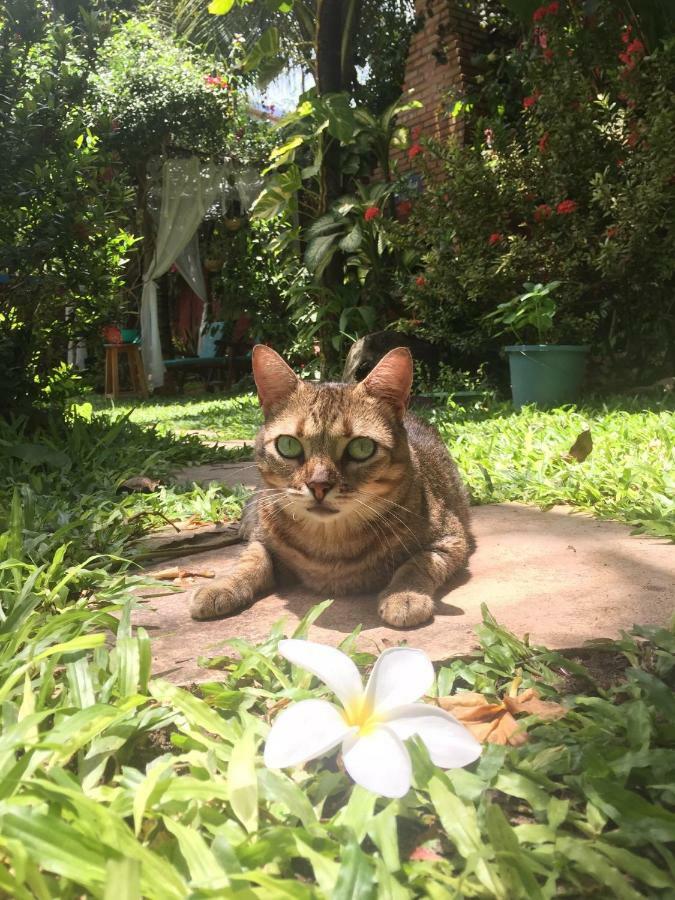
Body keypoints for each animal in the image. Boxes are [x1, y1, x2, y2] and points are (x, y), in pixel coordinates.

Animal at [190, 344, 472, 624]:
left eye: (362, 447)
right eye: (288, 445)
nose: (319, 485)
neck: (329, 543)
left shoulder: (452, 539)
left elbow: (418, 563)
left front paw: (404, 594)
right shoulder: (262, 540)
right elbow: (251, 559)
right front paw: (222, 585)